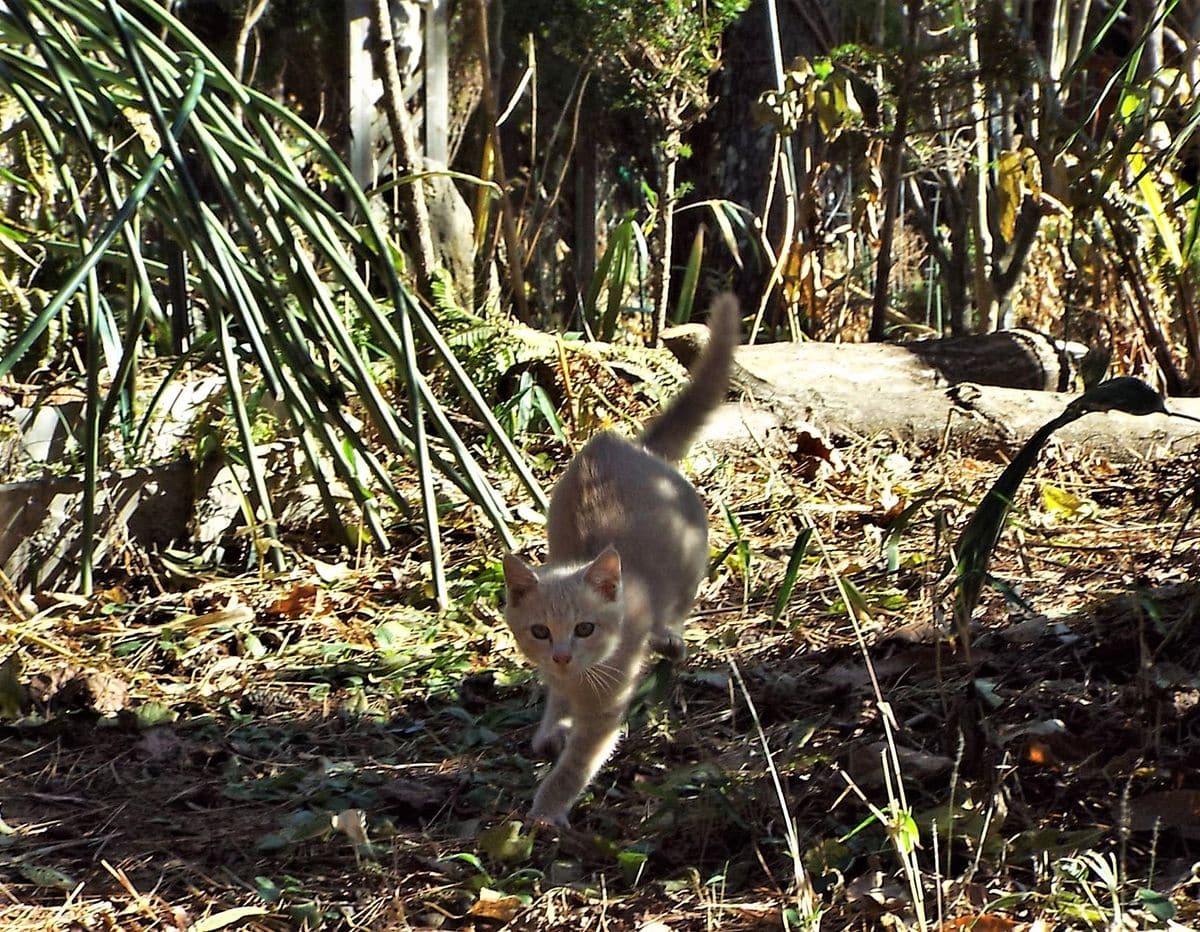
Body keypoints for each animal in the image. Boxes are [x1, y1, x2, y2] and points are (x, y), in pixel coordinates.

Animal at [499, 295, 739, 825]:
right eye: (540, 631)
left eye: (585, 628)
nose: (562, 654)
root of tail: (629, 444)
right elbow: (555, 701)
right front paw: (551, 730)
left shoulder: (605, 713)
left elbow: (575, 765)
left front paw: (544, 812)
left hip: (693, 558)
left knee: (679, 606)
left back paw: (669, 637)